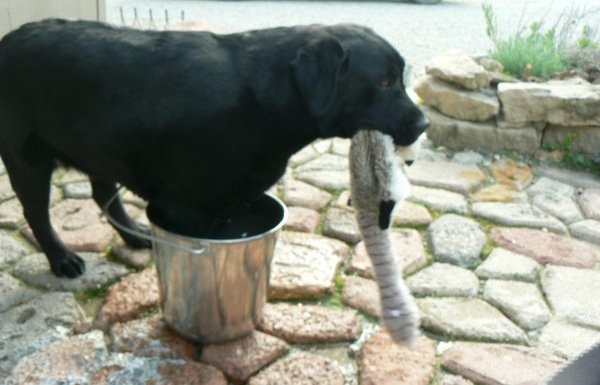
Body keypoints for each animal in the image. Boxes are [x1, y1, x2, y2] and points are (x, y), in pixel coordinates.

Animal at [0, 19, 428, 276]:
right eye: (385, 82)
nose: (424, 124)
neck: (263, 101)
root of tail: (9, 38)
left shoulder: (226, 207)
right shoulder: (189, 209)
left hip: (99, 148)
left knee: (103, 192)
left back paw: (135, 235)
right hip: (26, 159)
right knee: (36, 213)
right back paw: (61, 259)